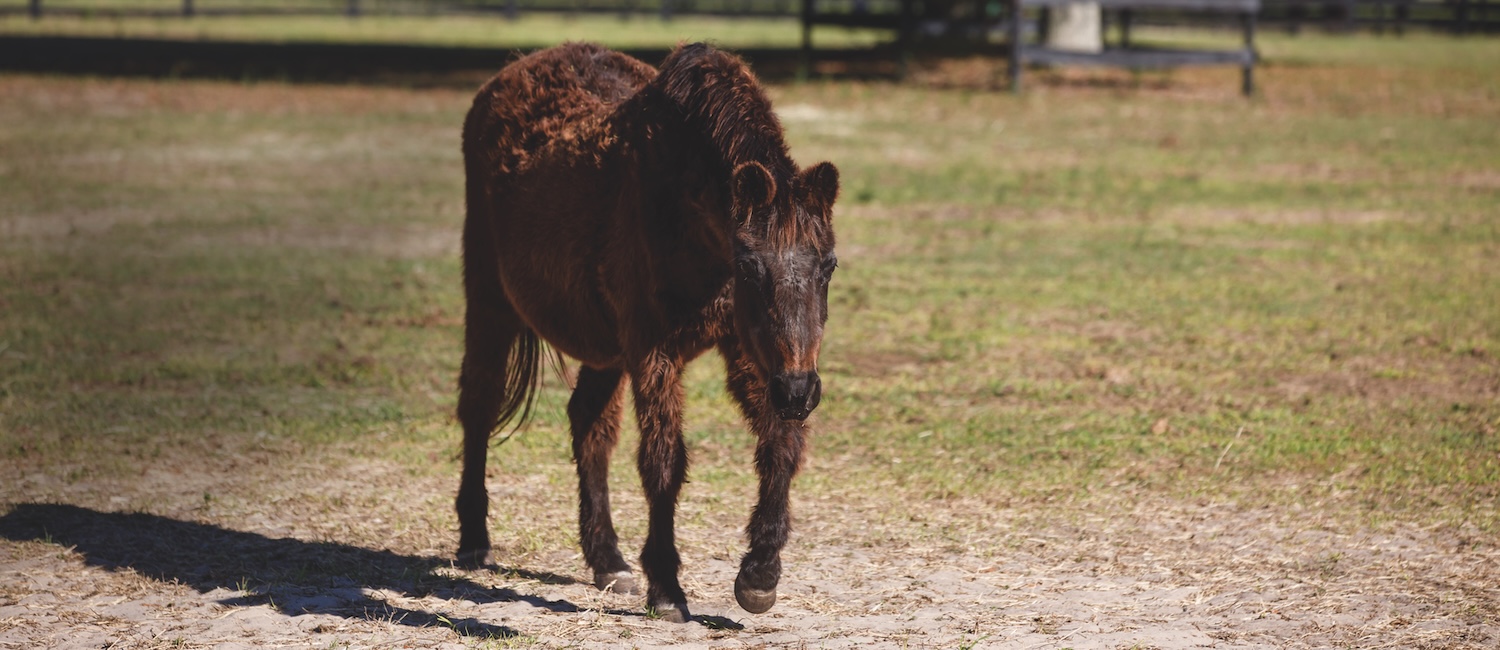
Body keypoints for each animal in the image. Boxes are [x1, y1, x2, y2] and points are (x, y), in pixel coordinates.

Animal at [455, 42, 840, 622]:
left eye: (829, 265)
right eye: (750, 266)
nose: (799, 391)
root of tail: (510, 72)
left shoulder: (748, 350)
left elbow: (781, 443)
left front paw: (760, 572)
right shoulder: (654, 351)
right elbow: (663, 462)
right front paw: (667, 588)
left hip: (605, 347)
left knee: (588, 425)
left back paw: (608, 561)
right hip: (490, 305)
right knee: (479, 408)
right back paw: (475, 540)